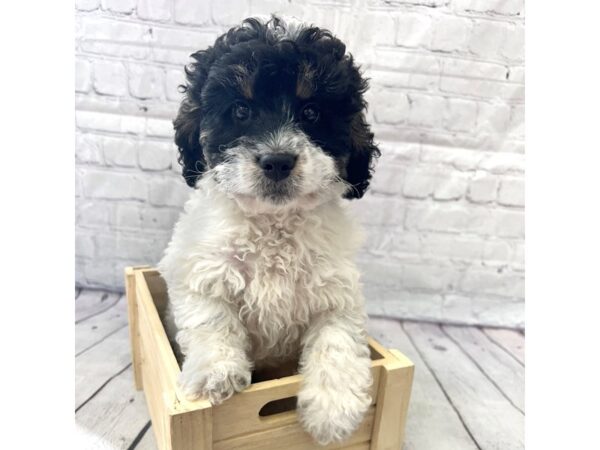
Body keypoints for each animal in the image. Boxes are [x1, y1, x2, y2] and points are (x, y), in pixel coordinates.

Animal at [159, 15, 382, 444]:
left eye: (311, 112)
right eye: (240, 110)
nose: (277, 160)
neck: (274, 223)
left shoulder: (338, 291)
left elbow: (337, 336)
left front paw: (333, 410)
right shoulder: (196, 271)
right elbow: (212, 316)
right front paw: (216, 373)